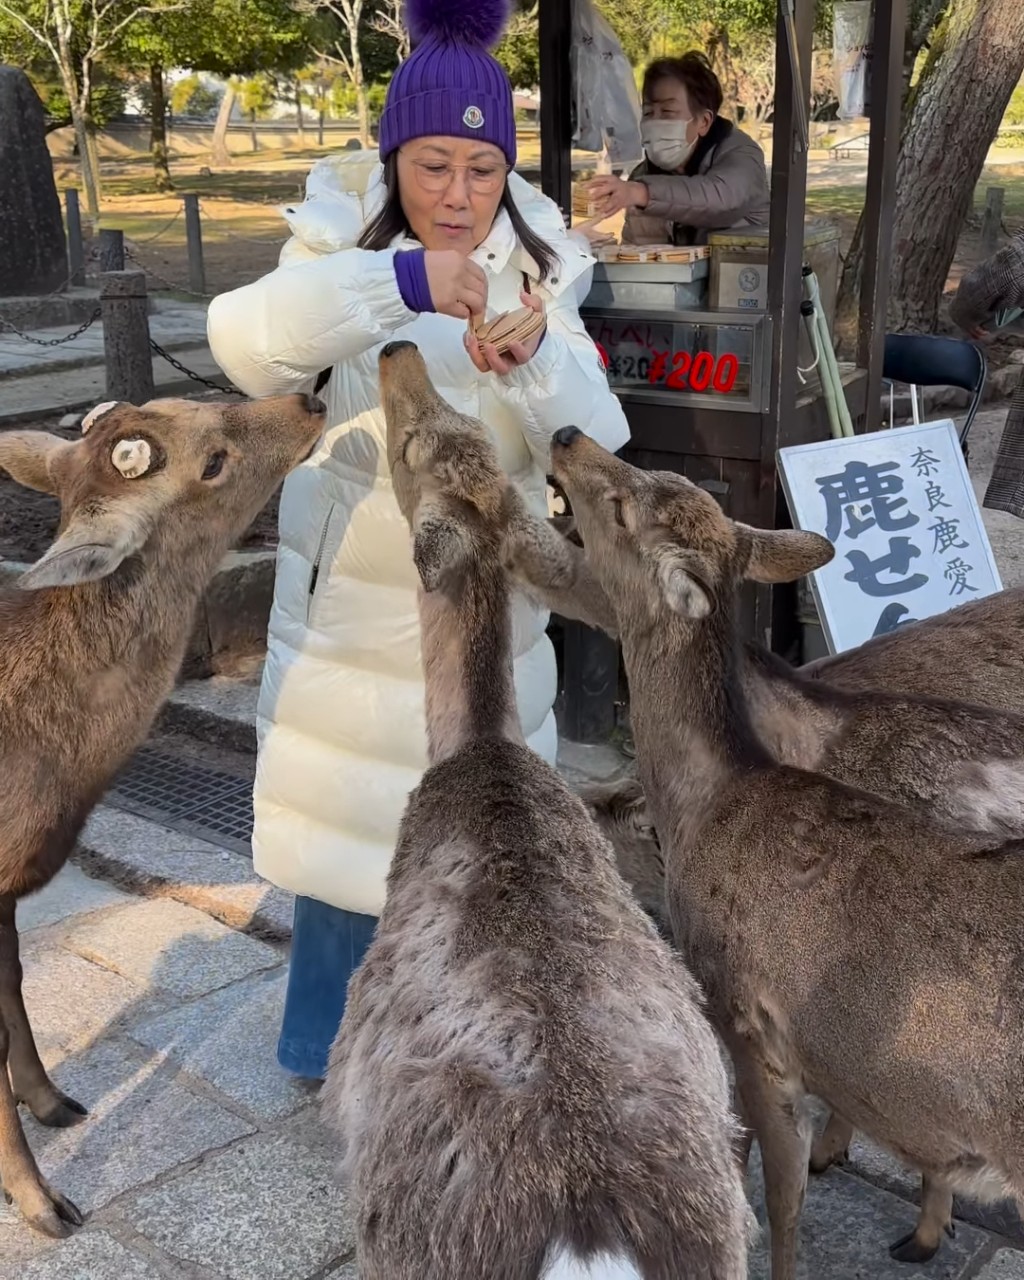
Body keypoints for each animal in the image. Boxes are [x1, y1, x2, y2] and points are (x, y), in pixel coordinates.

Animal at [0, 394, 323, 1233]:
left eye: (198, 404)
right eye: (210, 461)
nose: (309, 398)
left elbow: (15, 992)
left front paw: (54, 1102)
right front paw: (44, 1205)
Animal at [320, 343, 752, 1280]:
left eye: (409, 449)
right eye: (464, 427)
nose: (398, 348)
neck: (482, 746)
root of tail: (586, 1232)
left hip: (411, 1244)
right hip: (719, 1235)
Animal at [547, 427, 1024, 1280]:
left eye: (625, 504)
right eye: (654, 476)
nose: (568, 436)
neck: (709, 804)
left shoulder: (747, 1014)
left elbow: (777, 1181)